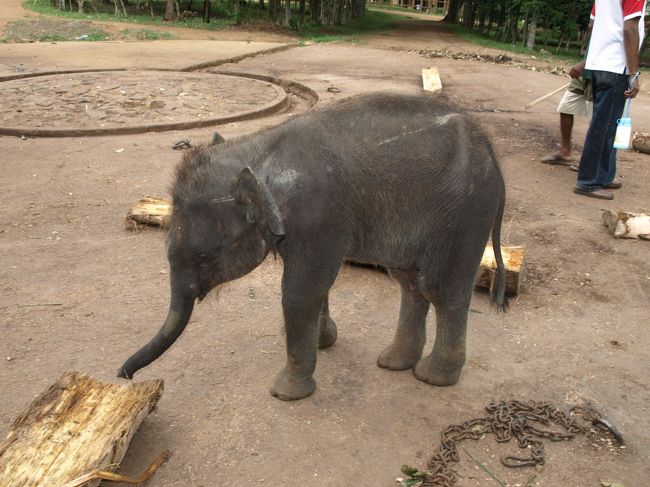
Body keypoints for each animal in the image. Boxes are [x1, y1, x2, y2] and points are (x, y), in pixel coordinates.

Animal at [120, 91, 506, 400]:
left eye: (204, 257)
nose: (124, 376)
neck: (259, 153)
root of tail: (491, 149)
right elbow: (319, 287)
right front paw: (323, 343)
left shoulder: (320, 215)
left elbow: (300, 292)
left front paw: (284, 393)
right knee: (408, 282)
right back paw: (393, 363)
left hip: (464, 215)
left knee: (440, 288)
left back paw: (432, 377)